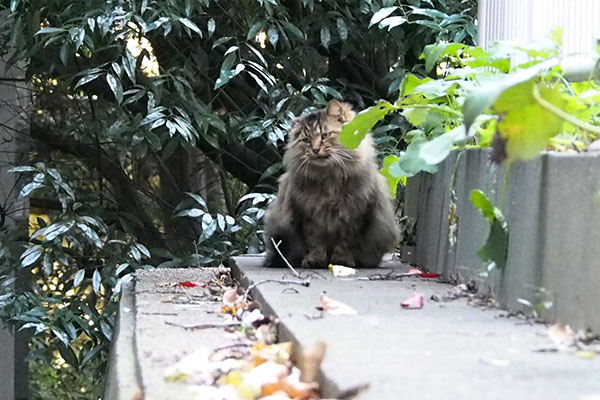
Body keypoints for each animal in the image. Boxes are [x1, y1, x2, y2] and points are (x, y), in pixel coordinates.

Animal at [262, 100, 398, 268]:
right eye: (306, 140)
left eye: (325, 135)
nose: (315, 149)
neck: (329, 177)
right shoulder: (308, 215)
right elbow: (315, 243)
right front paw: (315, 260)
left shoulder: (352, 215)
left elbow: (345, 243)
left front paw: (342, 261)